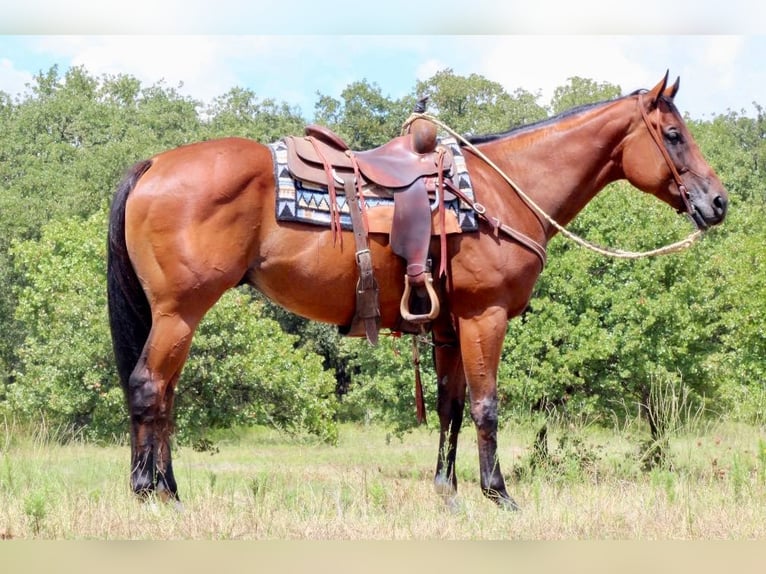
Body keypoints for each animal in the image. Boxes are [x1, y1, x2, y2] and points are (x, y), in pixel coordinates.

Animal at [105, 74, 728, 510]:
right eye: (674, 135)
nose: (718, 201)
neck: (498, 192)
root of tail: (154, 164)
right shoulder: (484, 315)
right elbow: (486, 407)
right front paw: (499, 494)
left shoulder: (449, 327)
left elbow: (451, 407)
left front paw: (447, 491)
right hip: (179, 312)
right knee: (148, 388)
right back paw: (148, 493)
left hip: (179, 317)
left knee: (166, 397)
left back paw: (170, 490)